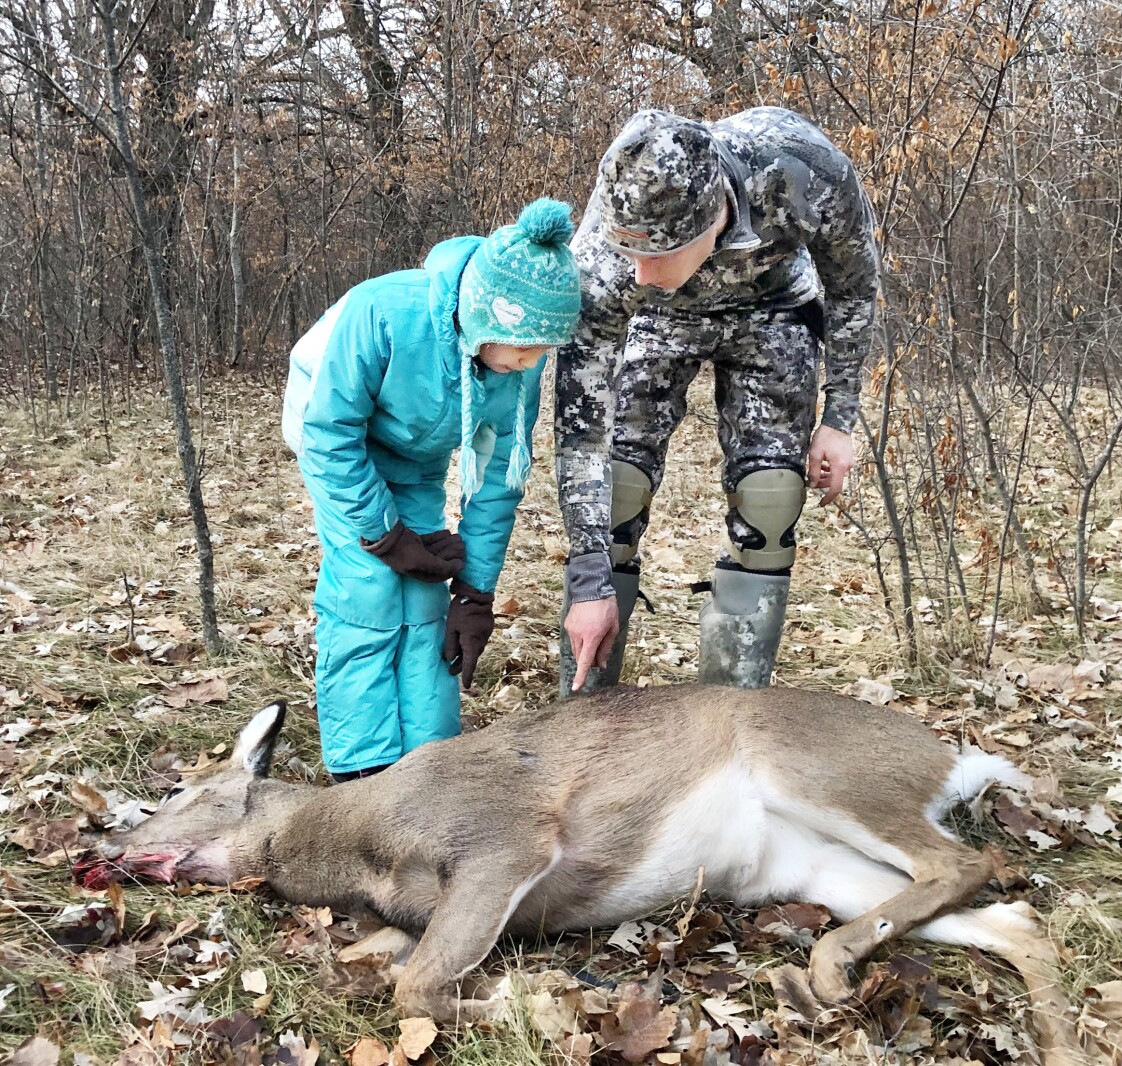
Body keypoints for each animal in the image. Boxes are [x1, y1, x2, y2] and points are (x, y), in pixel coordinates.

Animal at [74, 685, 1086, 1065]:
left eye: (179, 791)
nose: (97, 851)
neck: (357, 842)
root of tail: (954, 758)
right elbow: (379, 966)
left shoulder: (506, 842)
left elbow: (413, 984)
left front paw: (535, 1005)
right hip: (819, 866)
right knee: (1012, 920)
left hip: (823, 773)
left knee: (970, 858)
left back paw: (830, 970)